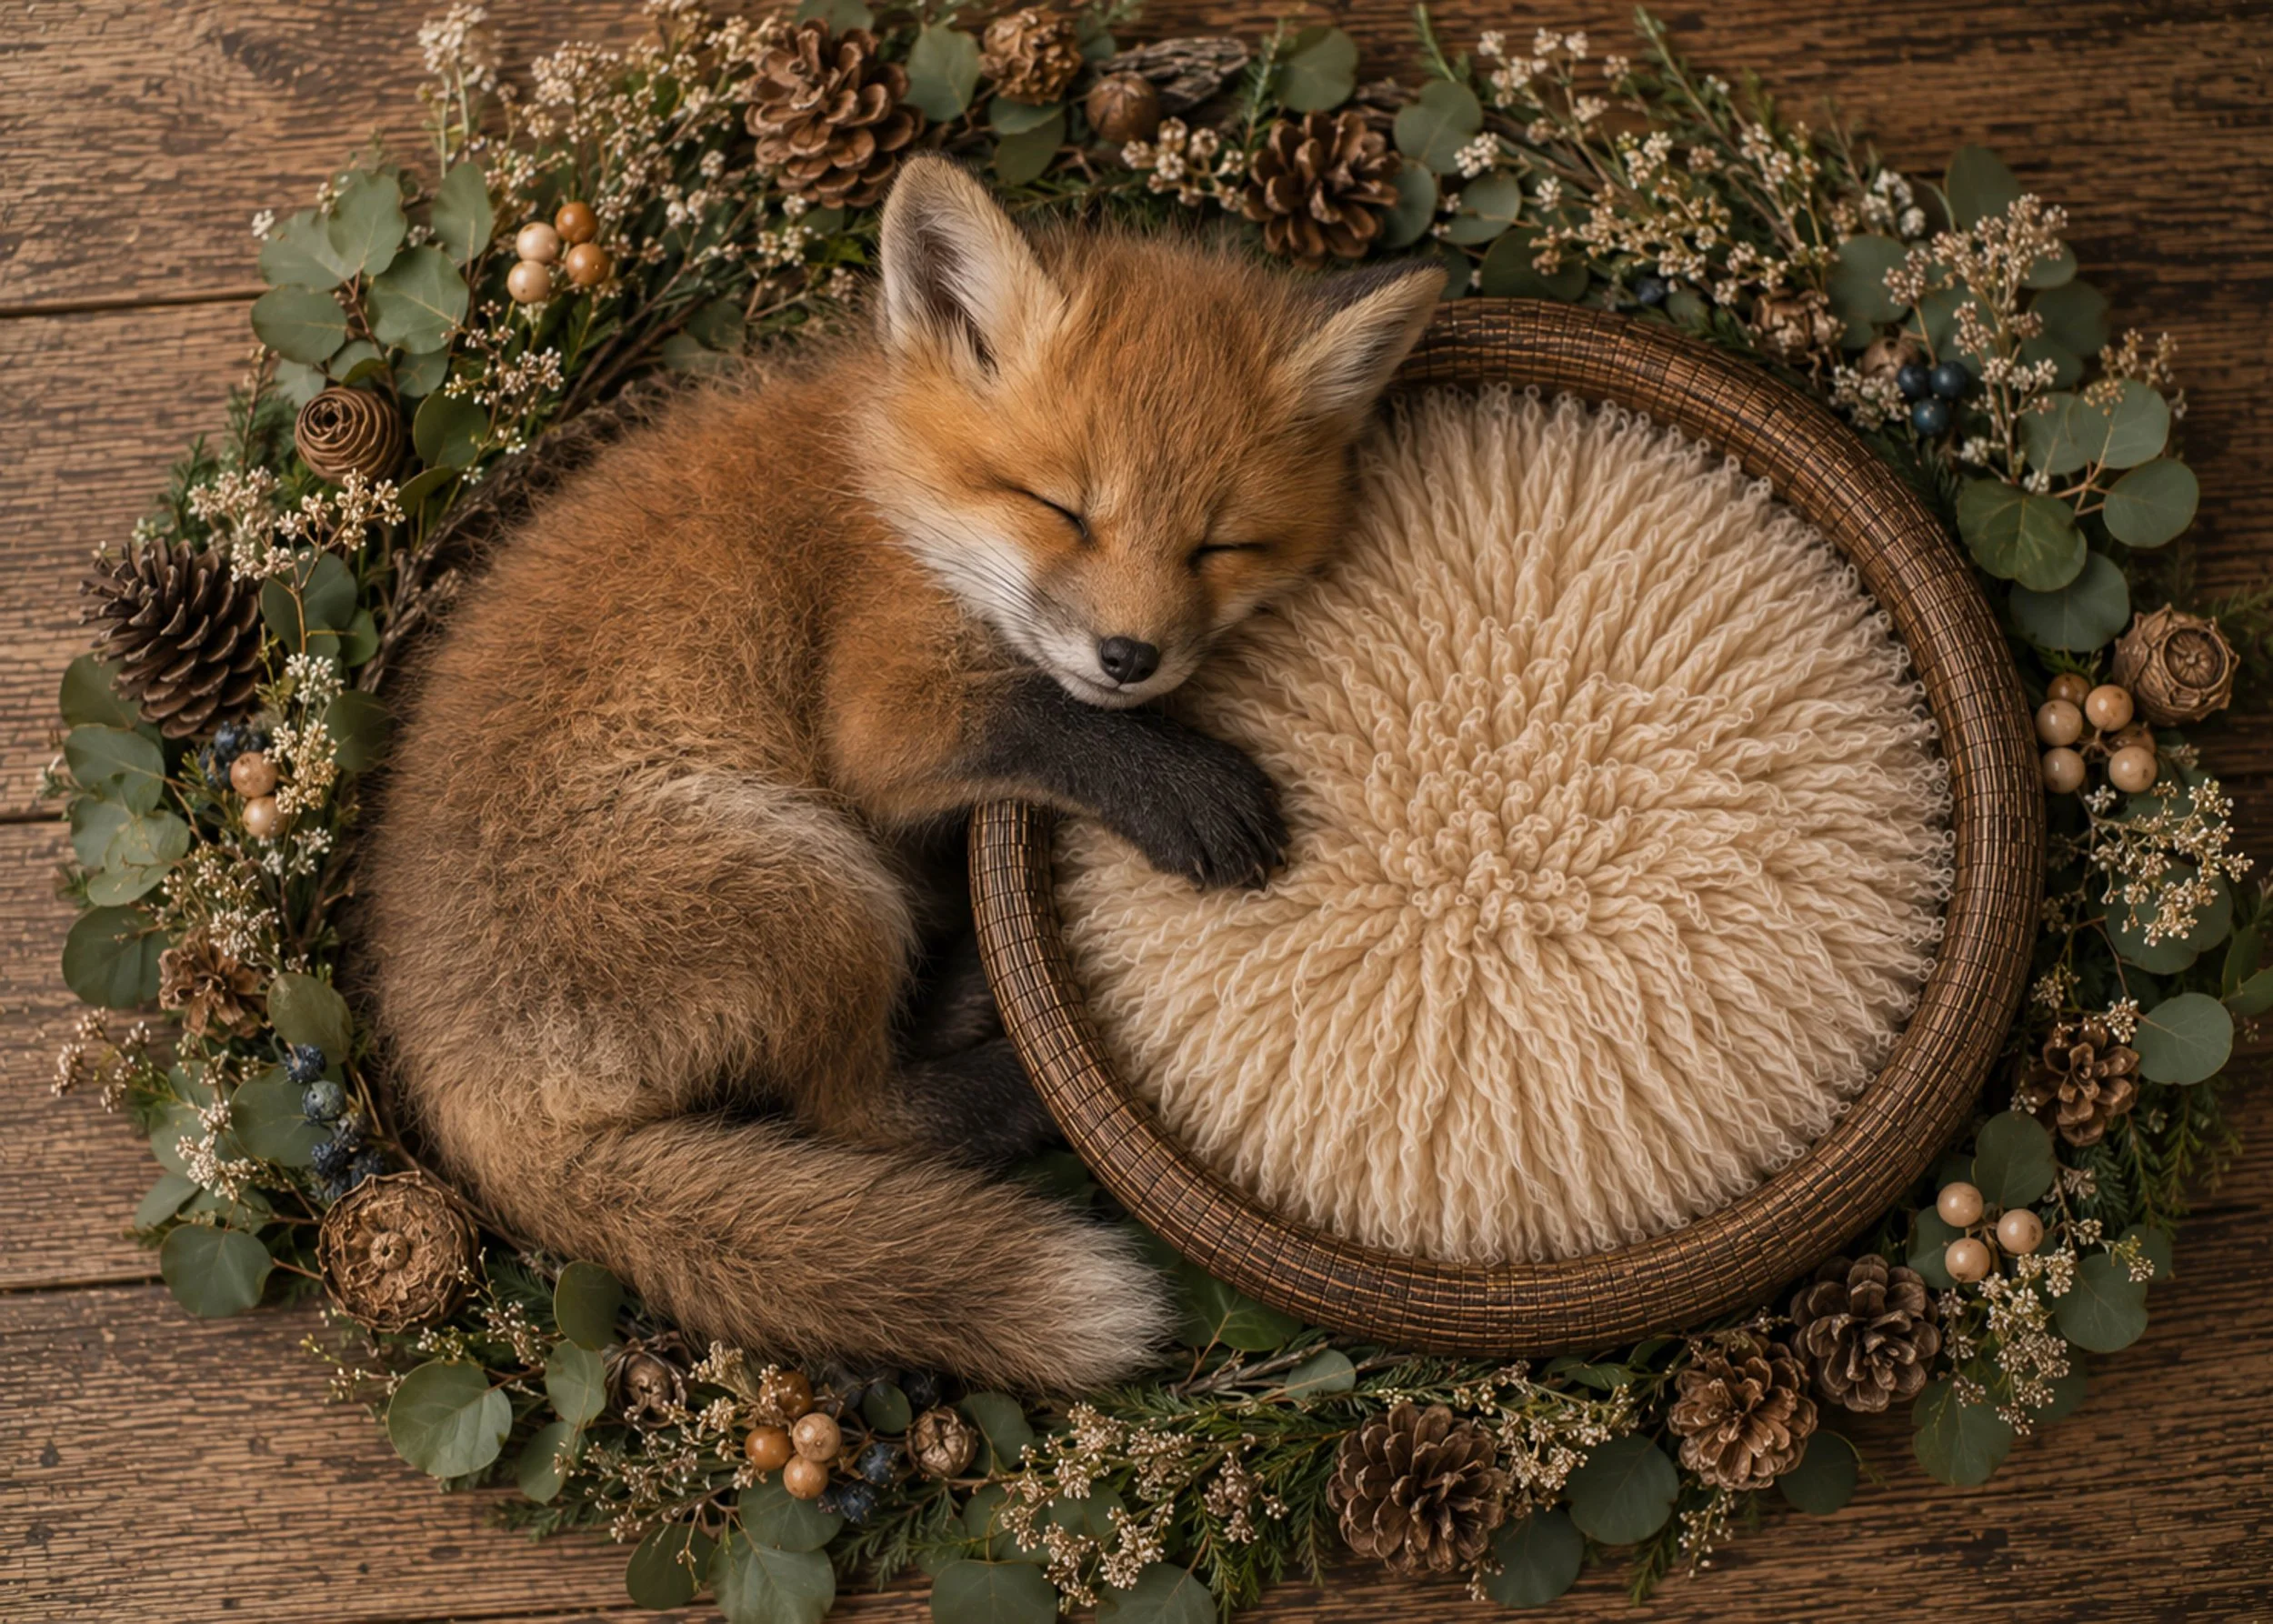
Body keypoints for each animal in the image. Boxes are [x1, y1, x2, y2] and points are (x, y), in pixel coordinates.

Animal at [359, 155, 1443, 1393]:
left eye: (1221, 545)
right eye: (1061, 507)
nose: (1131, 656)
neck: (894, 498)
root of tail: (453, 1092)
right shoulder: (880, 709)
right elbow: (1049, 720)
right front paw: (1189, 791)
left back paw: (970, 984)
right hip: (809, 886)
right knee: (850, 1110)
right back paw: (1025, 1088)